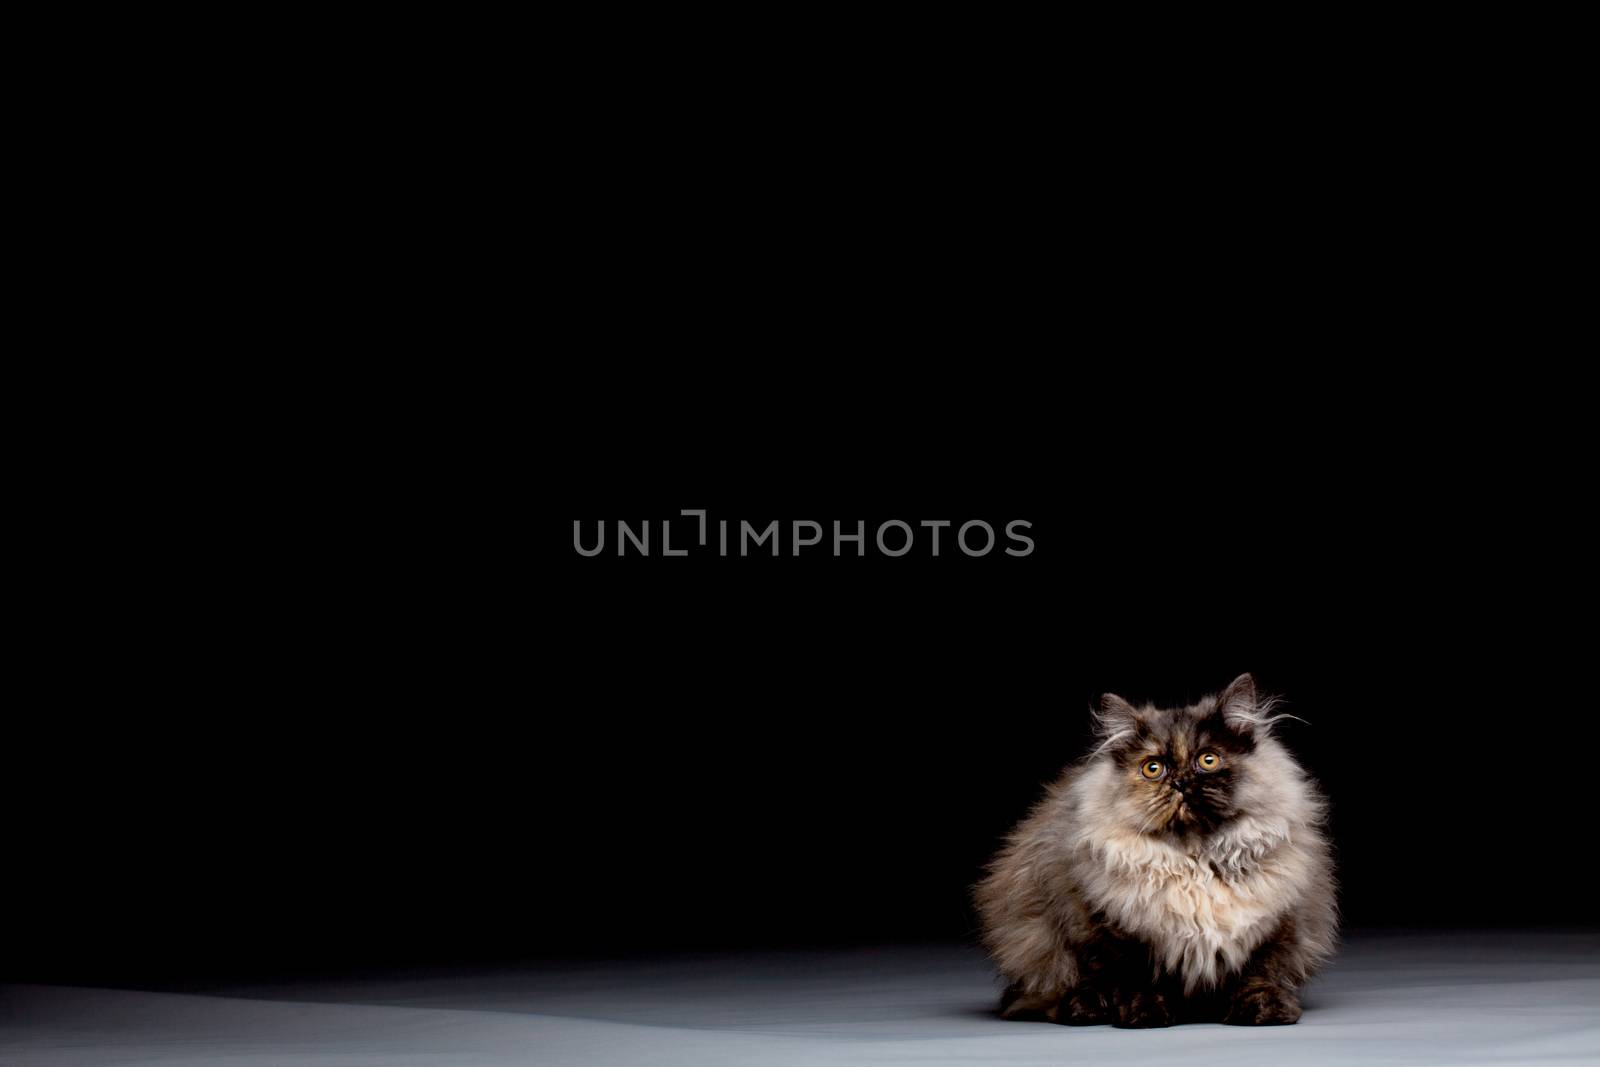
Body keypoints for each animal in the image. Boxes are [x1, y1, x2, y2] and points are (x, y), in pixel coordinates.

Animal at [972, 675, 1337, 1023]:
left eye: (1208, 760)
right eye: (1153, 768)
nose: (1180, 782)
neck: (1194, 860)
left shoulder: (1276, 929)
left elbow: (1259, 977)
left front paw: (1267, 1012)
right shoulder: (1112, 933)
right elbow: (1135, 980)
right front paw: (1144, 1013)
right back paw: (1086, 1011)